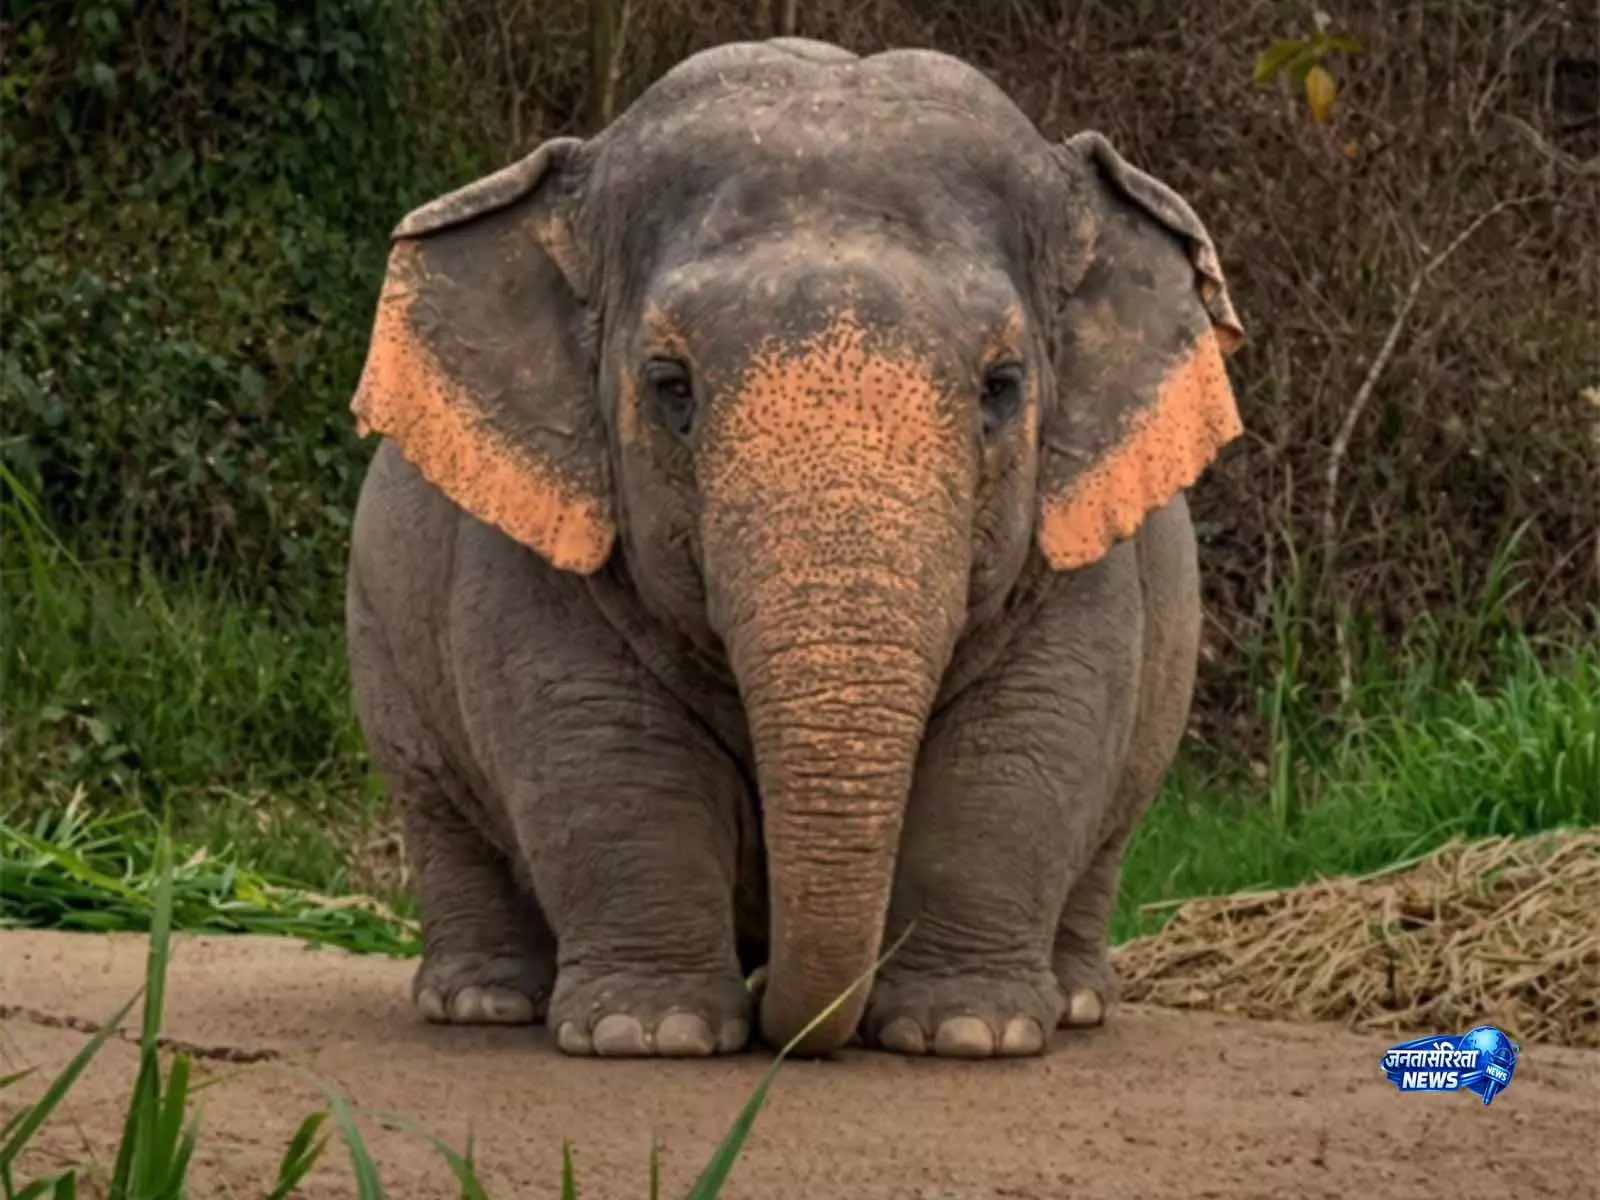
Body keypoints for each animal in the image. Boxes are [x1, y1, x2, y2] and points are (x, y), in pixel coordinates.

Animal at [344, 36, 1244, 1061]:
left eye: (1003, 386)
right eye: (671, 386)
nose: (787, 1013)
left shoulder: (1078, 542)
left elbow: (1022, 743)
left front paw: (969, 1032)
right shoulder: (535, 540)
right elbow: (601, 744)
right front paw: (648, 1033)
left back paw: (1080, 1002)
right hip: (381, 647)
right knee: (439, 809)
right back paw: (482, 1003)